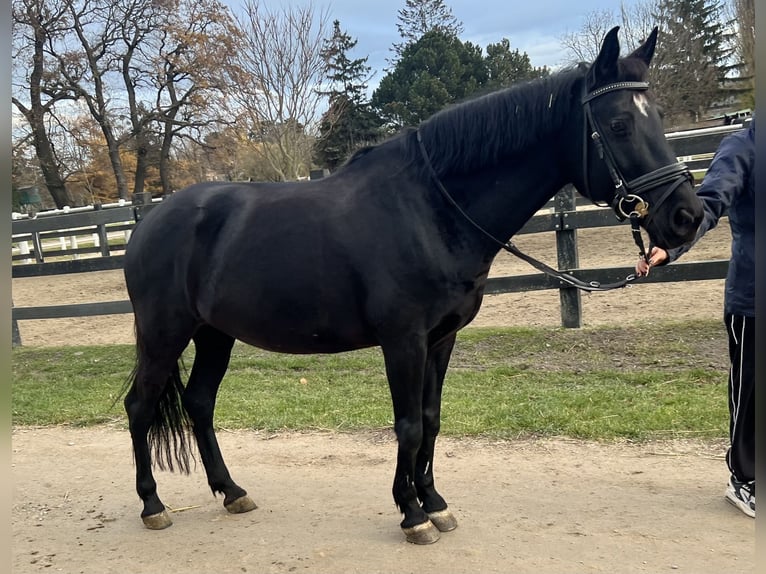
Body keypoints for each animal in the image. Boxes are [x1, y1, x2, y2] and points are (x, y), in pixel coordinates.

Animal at [123, 27, 704, 548]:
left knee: (199, 403)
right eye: (619, 124)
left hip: (214, 334)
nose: (688, 216)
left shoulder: (441, 339)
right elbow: (406, 425)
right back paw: (152, 504)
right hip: (165, 334)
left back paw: (231, 491)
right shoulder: (403, 341)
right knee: (139, 406)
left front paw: (435, 503)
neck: (430, 209)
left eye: (656, 118)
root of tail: (149, 222)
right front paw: (411, 515)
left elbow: (430, 420)